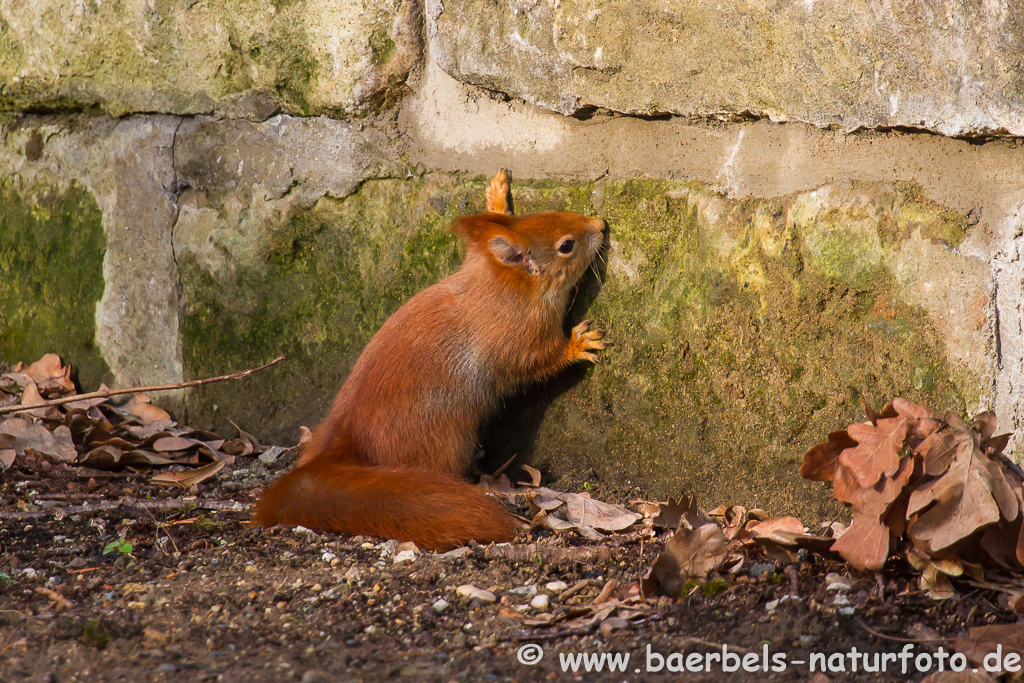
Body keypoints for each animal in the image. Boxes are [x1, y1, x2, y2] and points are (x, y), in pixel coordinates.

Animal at [253, 171, 606, 548]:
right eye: (566, 246)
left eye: (550, 212)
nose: (600, 225)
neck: (507, 283)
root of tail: (347, 442)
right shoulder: (516, 336)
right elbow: (535, 362)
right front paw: (577, 345)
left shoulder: (477, 258)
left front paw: (497, 196)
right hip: (444, 439)